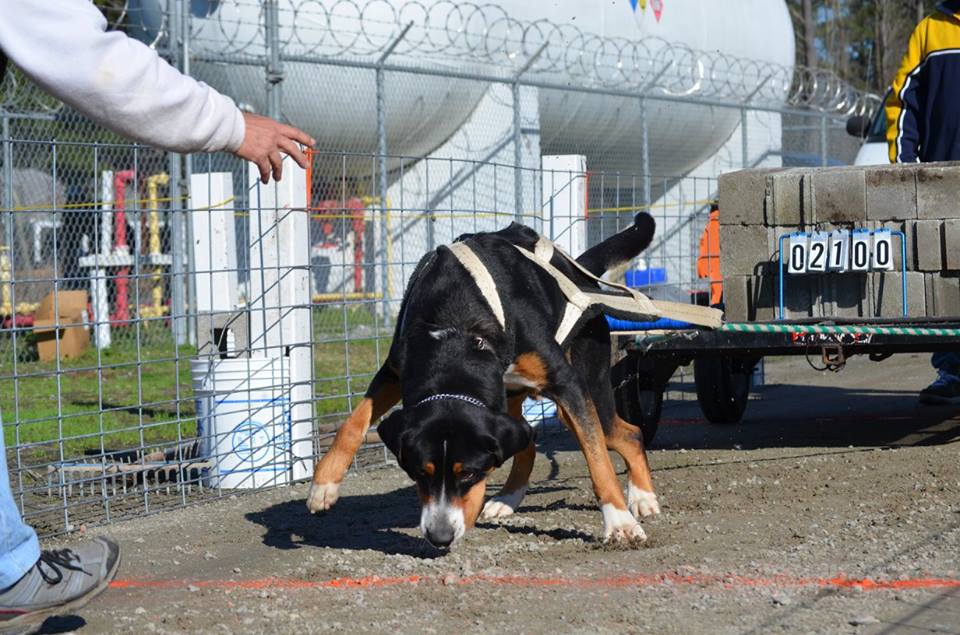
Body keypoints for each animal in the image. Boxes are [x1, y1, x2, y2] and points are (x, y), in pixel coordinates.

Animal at [310, 216, 668, 548]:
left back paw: (643, 499)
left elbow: (598, 460)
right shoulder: (395, 368)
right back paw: (507, 500)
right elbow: (354, 422)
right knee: (530, 440)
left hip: (588, 387)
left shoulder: (568, 385)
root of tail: (575, 273)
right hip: (511, 399)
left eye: (469, 472)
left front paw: (620, 523)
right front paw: (324, 484)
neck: (458, 329)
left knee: (627, 434)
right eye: (419, 472)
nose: (440, 536)